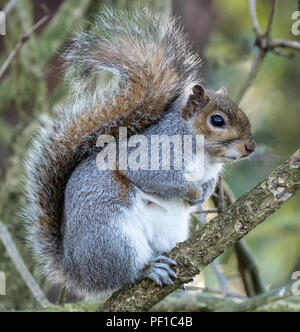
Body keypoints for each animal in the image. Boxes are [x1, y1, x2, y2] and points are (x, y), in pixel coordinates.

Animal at [22, 7, 255, 298]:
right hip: (113, 237)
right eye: (217, 120)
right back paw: (148, 269)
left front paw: (203, 192)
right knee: (125, 272)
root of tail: (76, 269)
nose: (250, 147)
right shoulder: (153, 153)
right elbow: (151, 177)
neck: (204, 156)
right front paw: (191, 191)